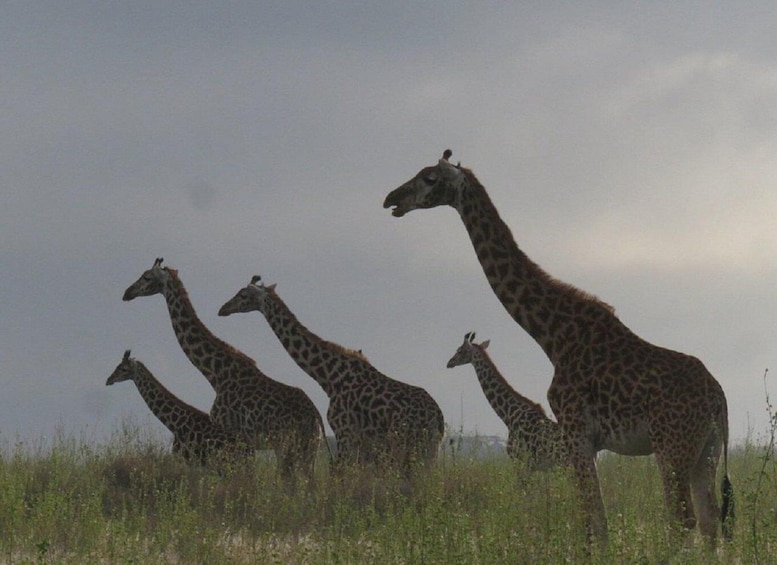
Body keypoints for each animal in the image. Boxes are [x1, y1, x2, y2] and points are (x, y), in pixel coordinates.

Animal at [106, 349, 252, 465]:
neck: (175, 425)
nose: (108, 380)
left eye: (123, 368)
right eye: (117, 366)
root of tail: (250, 450)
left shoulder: (185, 459)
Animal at [122, 258, 330, 482]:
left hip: (287, 445)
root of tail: (316, 417)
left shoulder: (230, 433)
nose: (127, 292)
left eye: (146, 277)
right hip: (309, 448)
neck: (215, 373)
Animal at [218, 276, 445, 473]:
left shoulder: (345, 433)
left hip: (408, 445)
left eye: (243, 294)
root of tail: (438, 418)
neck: (329, 377)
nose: (222, 309)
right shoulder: (359, 441)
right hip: (428, 450)